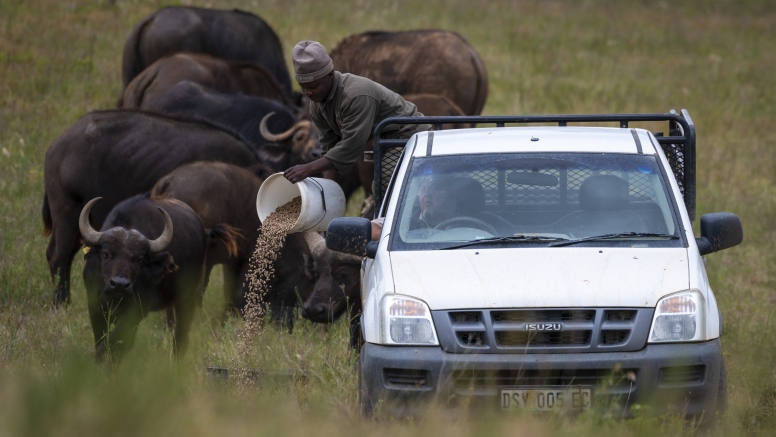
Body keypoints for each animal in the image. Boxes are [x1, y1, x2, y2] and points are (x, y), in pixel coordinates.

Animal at [152, 162, 316, 322]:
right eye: (308, 285)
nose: (306, 314)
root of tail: (171, 180)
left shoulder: (232, 261)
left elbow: (229, 291)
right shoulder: (250, 259)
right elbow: (239, 293)